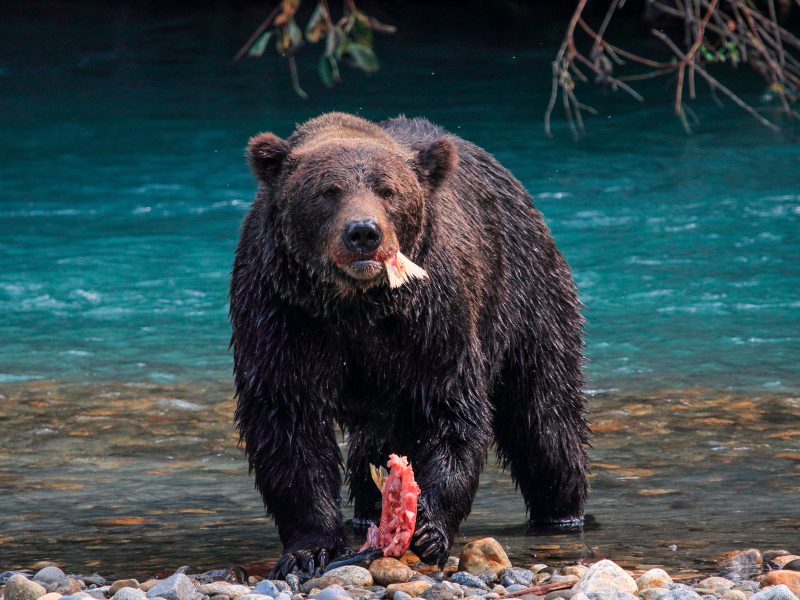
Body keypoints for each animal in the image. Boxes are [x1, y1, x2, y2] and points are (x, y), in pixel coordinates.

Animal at [229, 112, 589, 579]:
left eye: (388, 190)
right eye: (328, 191)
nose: (363, 232)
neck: (355, 307)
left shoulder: (431, 317)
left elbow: (449, 411)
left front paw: (429, 529)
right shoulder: (283, 314)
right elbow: (286, 421)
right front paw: (309, 548)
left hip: (527, 293)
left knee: (545, 419)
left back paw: (562, 511)